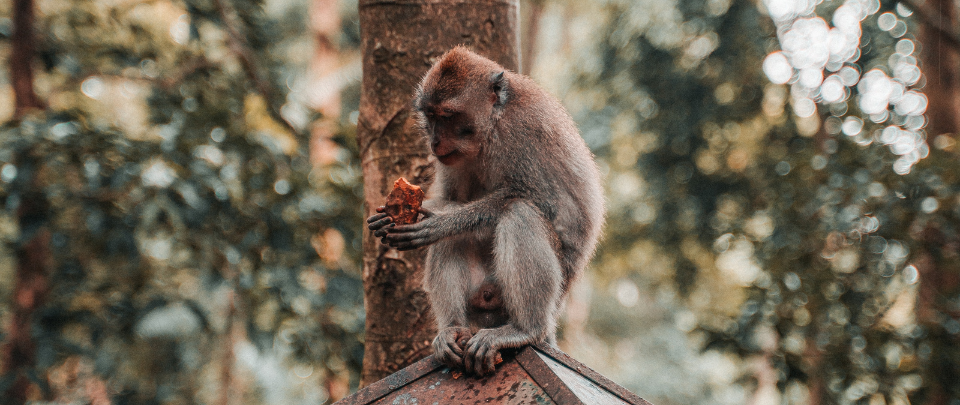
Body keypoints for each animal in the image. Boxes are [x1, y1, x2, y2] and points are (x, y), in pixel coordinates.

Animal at [364, 47, 604, 376]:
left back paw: (525, 329)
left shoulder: (524, 129)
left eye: (448, 116)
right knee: (456, 244)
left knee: (520, 213)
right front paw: (393, 216)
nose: (434, 141)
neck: (491, 127)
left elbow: (549, 201)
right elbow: (450, 197)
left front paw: (442, 222)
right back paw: (452, 330)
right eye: (431, 116)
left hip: (545, 289)